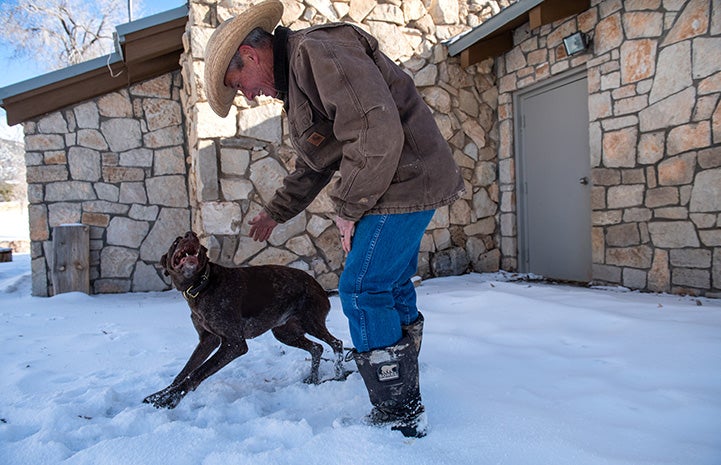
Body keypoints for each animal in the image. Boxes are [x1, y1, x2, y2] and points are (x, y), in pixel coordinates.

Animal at [144, 230, 346, 408]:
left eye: (198, 244)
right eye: (176, 241)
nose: (191, 234)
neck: (201, 285)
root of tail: (321, 289)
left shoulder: (234, 343)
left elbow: (196, 373)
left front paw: (171, 399)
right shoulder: (207, 340)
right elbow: (184, 372)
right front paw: (160, 394)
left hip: (310, 322)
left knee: (337, 344)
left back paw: (338, 375)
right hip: (285, 333)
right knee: (317, 348)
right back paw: (313, 379)